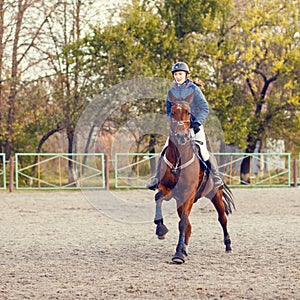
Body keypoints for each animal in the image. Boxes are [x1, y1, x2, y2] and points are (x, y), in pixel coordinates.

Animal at [155, 100, 234, 262]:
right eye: (173, 112)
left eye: (188, 112)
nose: (181, 136)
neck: (178, 161)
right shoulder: (166, 189)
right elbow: (158, 197)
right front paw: (161, 229)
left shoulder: (189, 194)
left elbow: (183, 223)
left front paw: (178, 254)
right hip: (180, 201)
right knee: (189, 226)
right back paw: (184, 248)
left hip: (215, 195)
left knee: (222, 219)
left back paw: (228, 245)